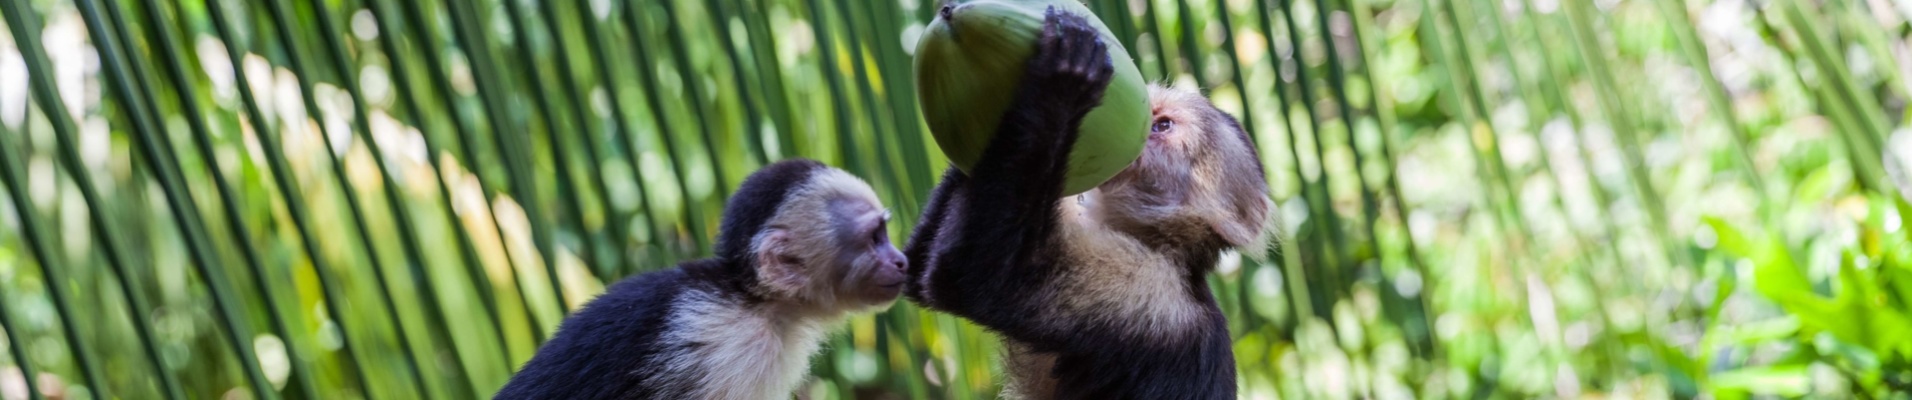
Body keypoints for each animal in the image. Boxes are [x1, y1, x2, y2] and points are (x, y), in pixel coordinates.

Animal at [906, 6, 1277, 400]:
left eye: (1162, 127)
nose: (1143, 129)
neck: (1165, 247)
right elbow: (911, 271)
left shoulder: (1150, 293)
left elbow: (974, 276)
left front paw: (1065, 77)